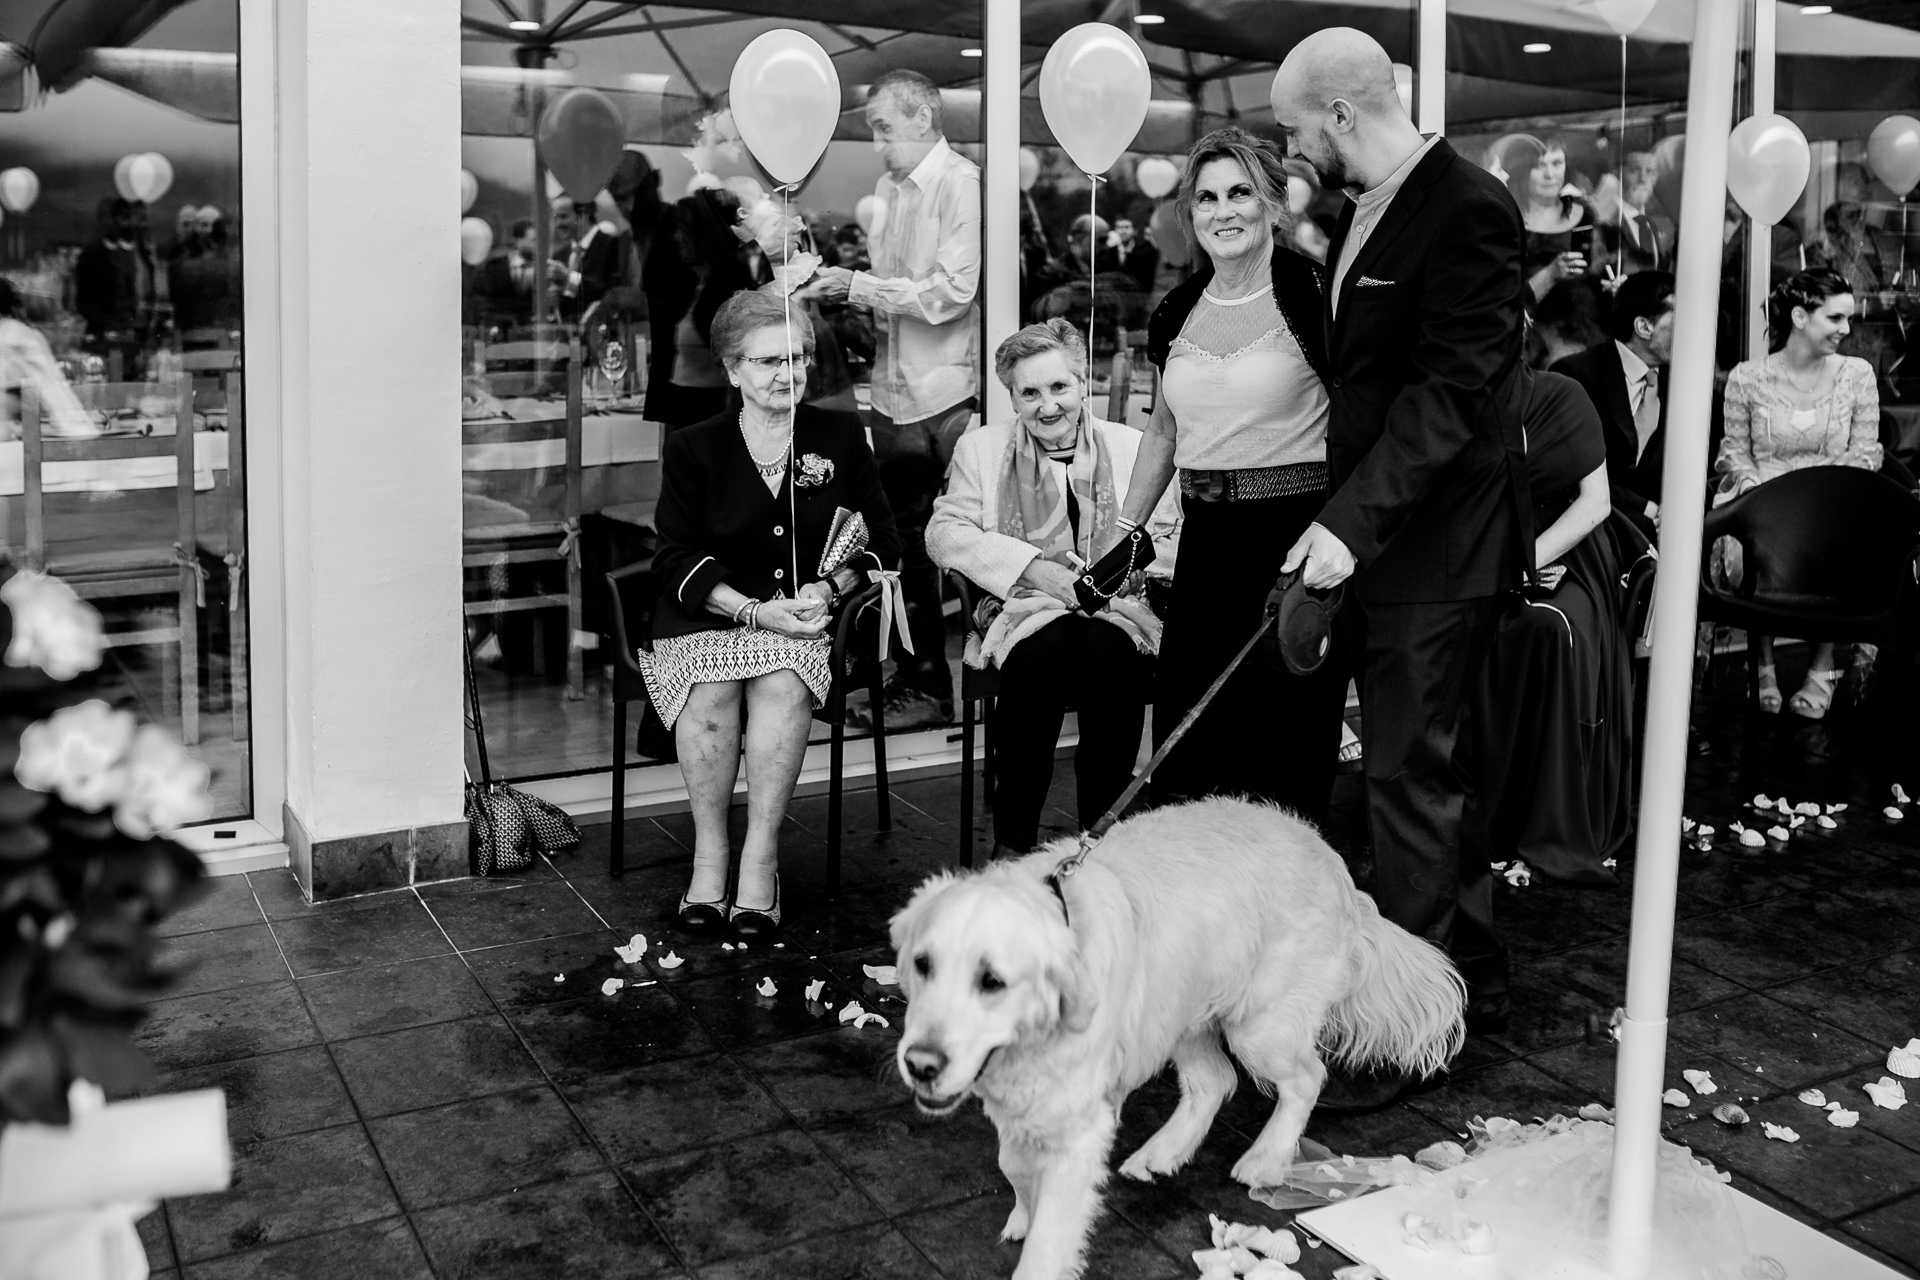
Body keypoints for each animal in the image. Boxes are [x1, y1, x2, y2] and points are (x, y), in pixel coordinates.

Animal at [890, 794, 1459, 1274]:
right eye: (923, 965)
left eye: (993, 981)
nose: (919, 1065)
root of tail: (1332, 860)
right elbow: (1012, 1162)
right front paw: (1021, 1214)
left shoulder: (1079, 1126)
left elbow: (1050, 1234)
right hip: (1184, 1014)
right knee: (1215, 1081)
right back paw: (1160, 1154)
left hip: (1259, 1025)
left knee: (1304, 1078)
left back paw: (1264, 1160)